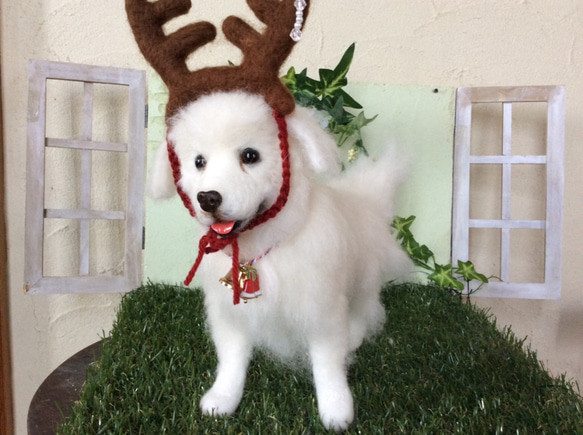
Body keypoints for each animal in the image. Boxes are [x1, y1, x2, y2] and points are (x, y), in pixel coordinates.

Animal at [153, 90, 412, 430]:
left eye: (250, 156)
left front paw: (336, 408)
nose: (207, 198)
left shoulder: (323, 312)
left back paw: (354, 336)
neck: (261, 251)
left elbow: (327, 366)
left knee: (365, 309)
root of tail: (363, 199)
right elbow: (231, 361)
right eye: (198, 162)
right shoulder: (230, 316)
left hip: (363, 279)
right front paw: (223, 398)